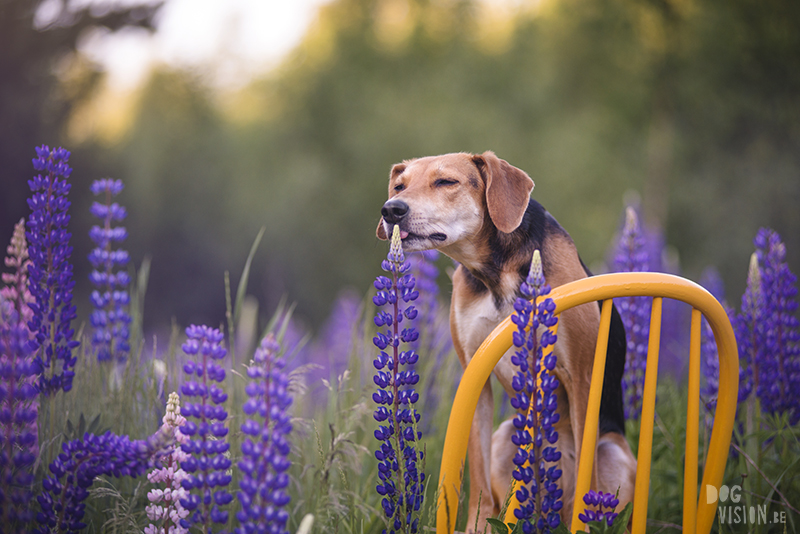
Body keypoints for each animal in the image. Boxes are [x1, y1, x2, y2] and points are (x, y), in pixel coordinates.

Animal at [376, 152, 636, 534]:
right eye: (398, 186)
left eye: (446, 182)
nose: (391, 209)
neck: (496, 273)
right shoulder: (475, 375)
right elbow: (478, 478)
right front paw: (477, 524)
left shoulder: (580, 375)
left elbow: (585, 478)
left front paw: (582, 524)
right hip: (504, 439)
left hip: (614, 452)